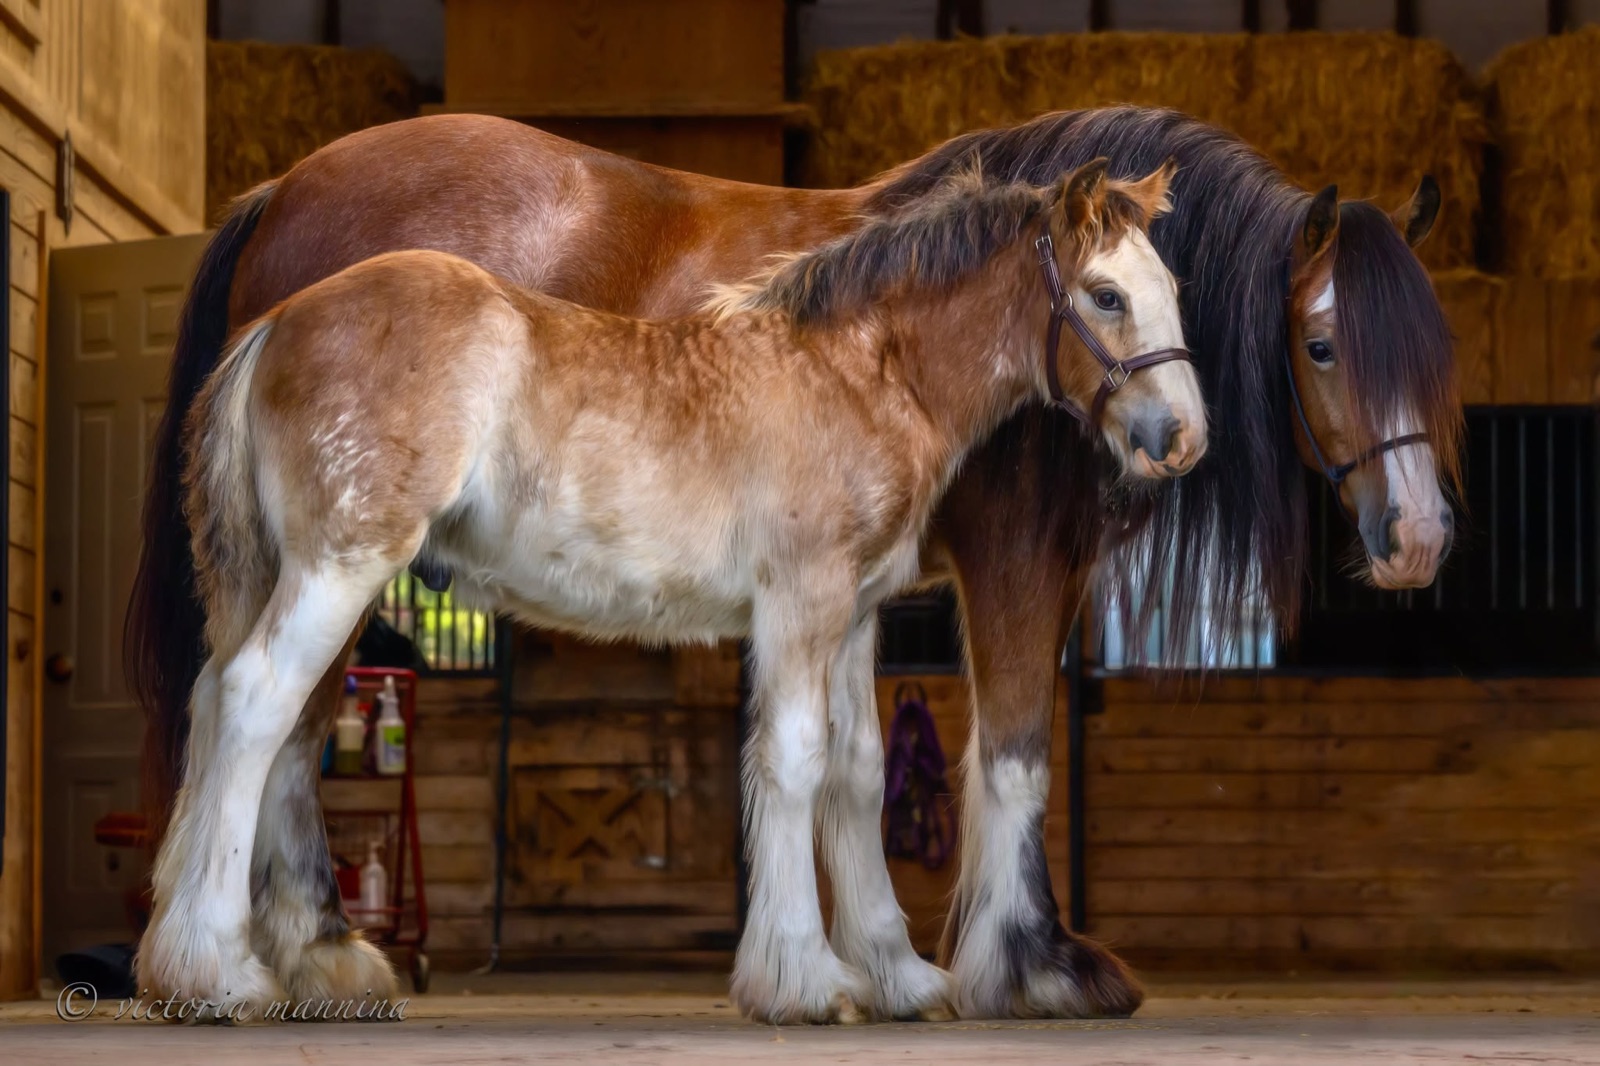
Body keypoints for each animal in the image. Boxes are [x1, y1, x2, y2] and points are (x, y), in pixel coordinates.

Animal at [127, 106, 1461, 1021]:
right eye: (1101, 296)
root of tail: (277, 320)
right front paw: (866, 976)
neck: (855, 364)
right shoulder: (879, 585)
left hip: (283, 570)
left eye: (1177, 288)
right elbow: (861, 757)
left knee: (230, 707)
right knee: (263, 706)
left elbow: (853, 773)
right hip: (345, 563)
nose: (1175, 436)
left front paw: (900, 974)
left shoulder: (856, 604)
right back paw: (234, 970)